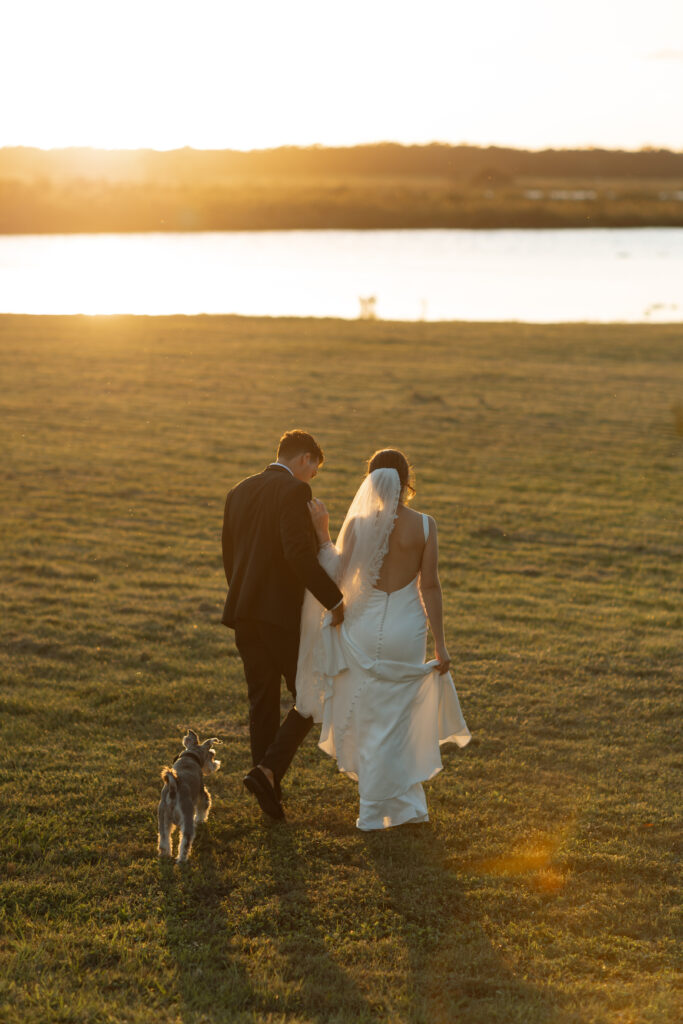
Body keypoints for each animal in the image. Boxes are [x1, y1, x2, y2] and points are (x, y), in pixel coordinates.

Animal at [157, 729, 222, 864]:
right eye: (212, 755)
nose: (216, 764)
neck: (190, 756)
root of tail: (173, 790)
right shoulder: (202, 793)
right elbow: (204, 807)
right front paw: (201, 820)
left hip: (163, 817)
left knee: (164, 838)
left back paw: (165, 855)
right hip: (187, 818)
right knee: (185, 841)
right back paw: (182, 859)